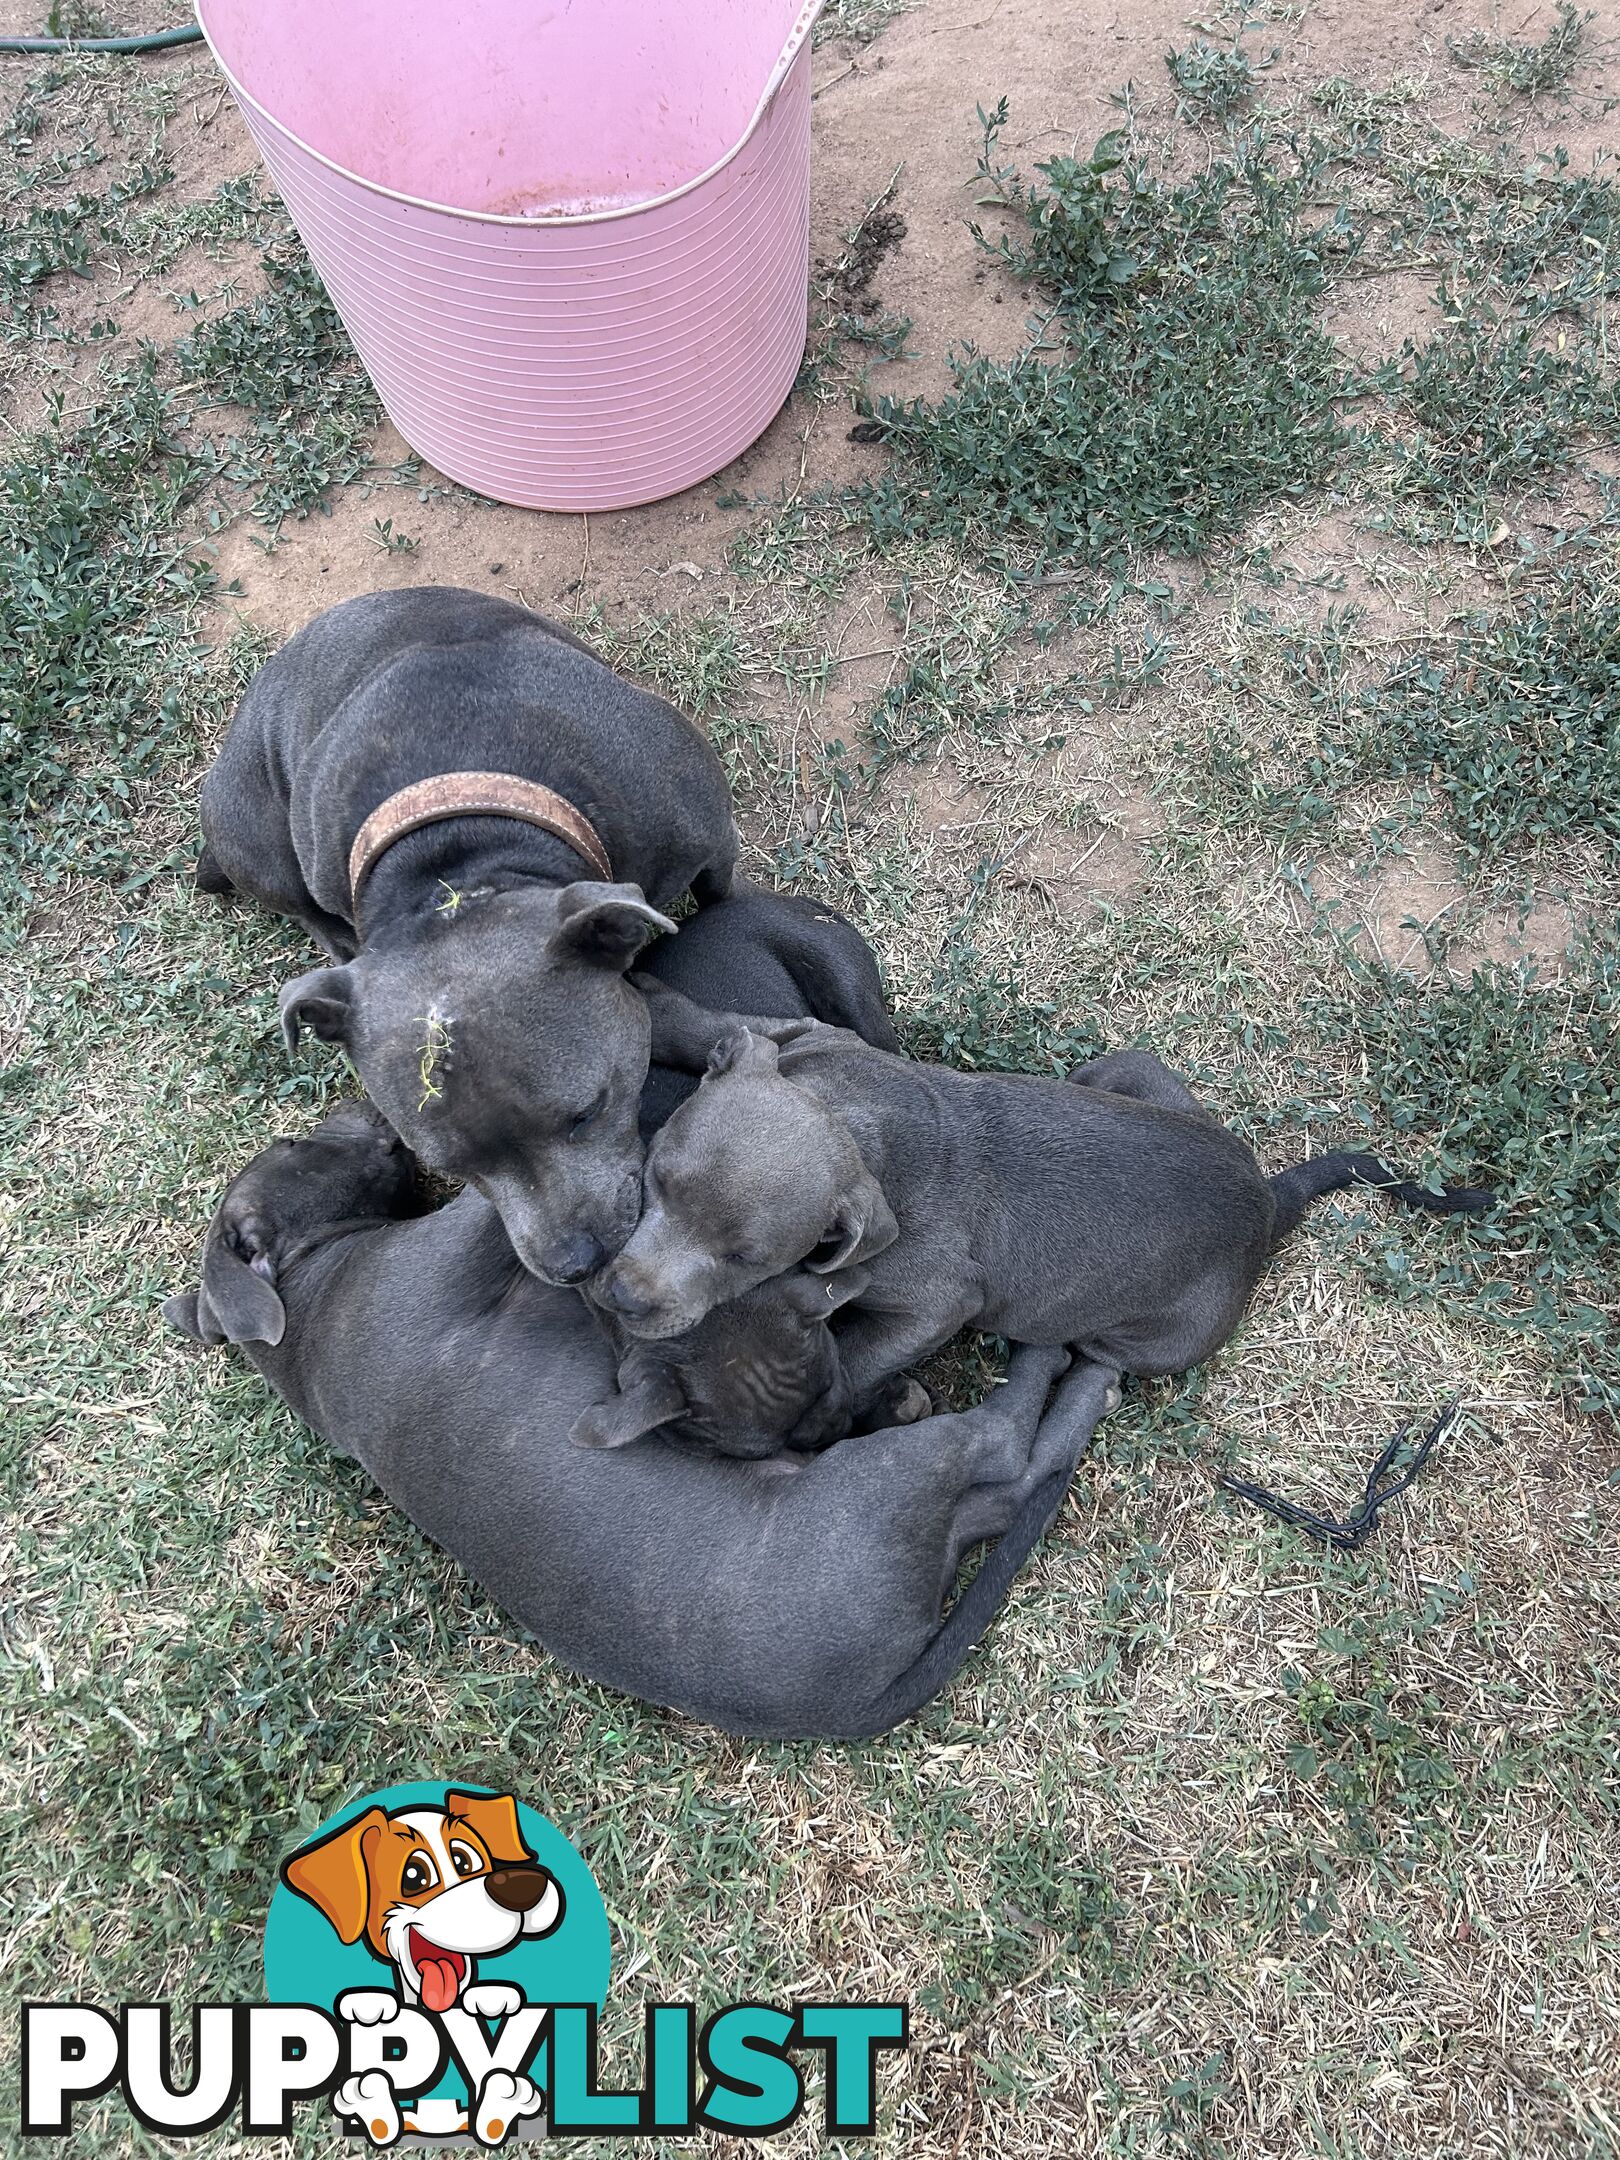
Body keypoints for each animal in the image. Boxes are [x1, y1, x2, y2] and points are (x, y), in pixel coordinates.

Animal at [168, 1105, 1131, 1745]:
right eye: (294, 1147)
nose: (369, 1115)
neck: (307, 1300)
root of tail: (862, 1700)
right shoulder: (461, 1249)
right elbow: (510, 1210)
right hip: (886, 1488)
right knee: (1010, 1449)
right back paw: (1068, 1366)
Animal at [192, 583, 743, 1278]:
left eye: (587, 1112)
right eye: (452, 1167)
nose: (573, 1263)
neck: (461, 860)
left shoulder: (710, 835)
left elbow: (722, 894)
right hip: (270, 849)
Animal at [596, 1023, 1494, 1399]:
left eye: (747, 1259)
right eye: (658, 1177)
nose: (623, 1298)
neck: (857, 1121)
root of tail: (1265, 1200)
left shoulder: (940, 1301)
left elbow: (861, 1355)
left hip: (1152, 1337)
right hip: (1125, 1071)